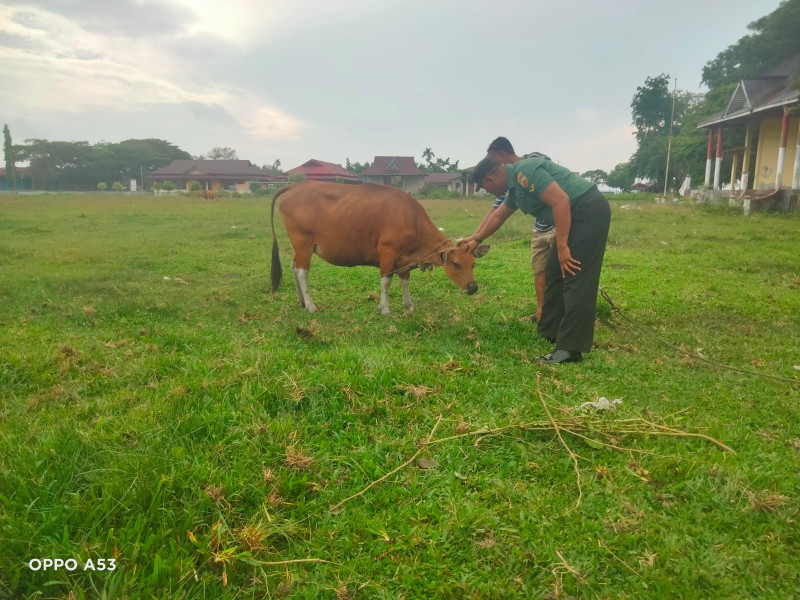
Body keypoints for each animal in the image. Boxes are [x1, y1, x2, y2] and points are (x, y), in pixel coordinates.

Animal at [272, 180, 490, 314]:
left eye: (473, 264)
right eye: (456, 264)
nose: (473, 287)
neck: (411, 220)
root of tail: (293, 186)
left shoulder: (404, 258)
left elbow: (404, 281)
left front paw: (408, 305)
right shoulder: (388, 253)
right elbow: (386, 281)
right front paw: (384, 309)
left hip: (300, 246)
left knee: (293, 266)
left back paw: (301, 301)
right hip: (304, 243)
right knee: (302, 272)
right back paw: (310, 305)